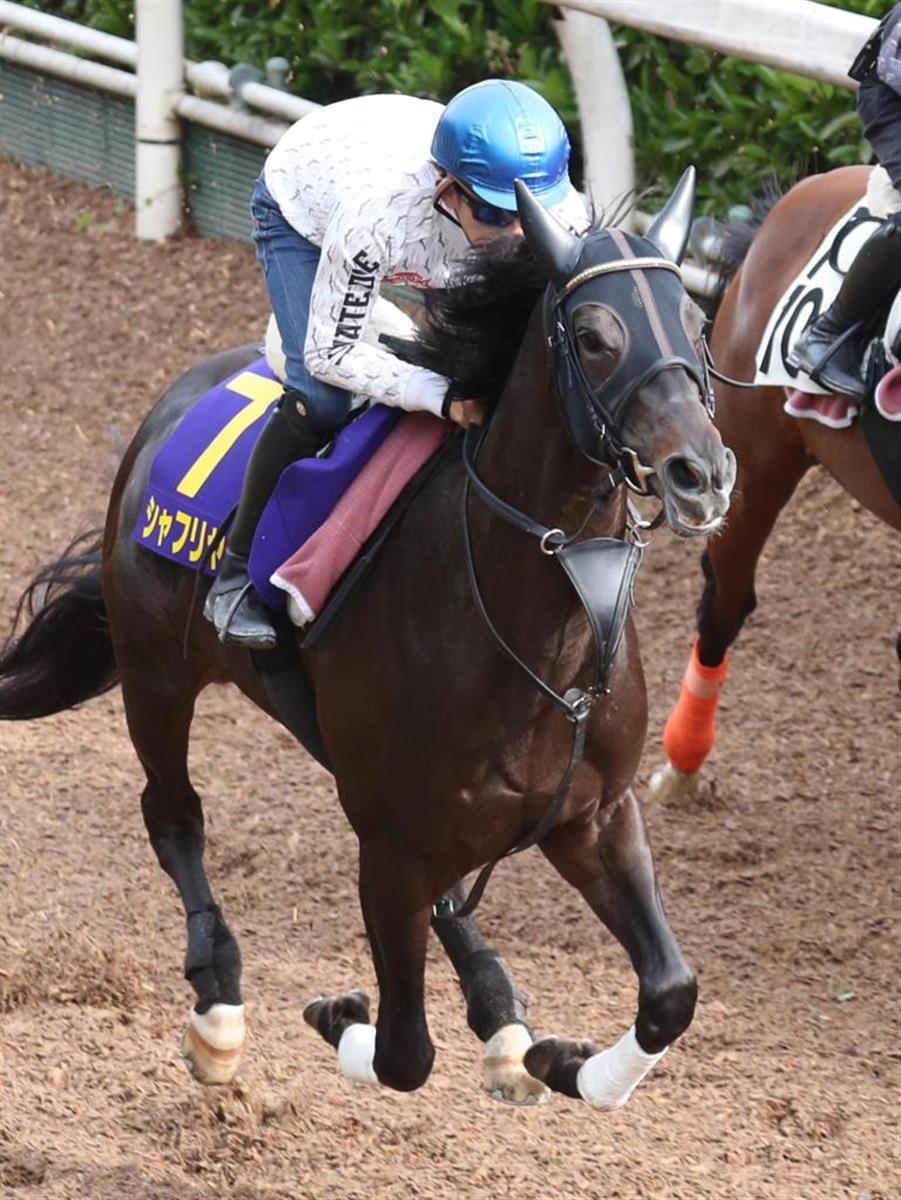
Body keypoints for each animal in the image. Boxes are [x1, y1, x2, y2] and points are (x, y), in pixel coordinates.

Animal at [0, 171, 735, 1109]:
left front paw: (556, 1059)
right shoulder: (388, 843)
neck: (542, 631)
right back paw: (217, 1008)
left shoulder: (592, 816)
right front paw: (335, 1011)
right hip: (155, 673)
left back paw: (499, 1014)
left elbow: (669, 993)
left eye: (696, 326)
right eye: (594, 337)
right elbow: (400, 1054)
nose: (701, 474)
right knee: (173, 815)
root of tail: (173, 404)